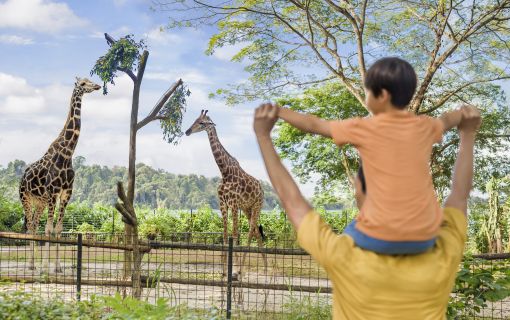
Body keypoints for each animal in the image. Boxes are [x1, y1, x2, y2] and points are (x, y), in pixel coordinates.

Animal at [19, 77, 100, 272]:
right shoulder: (53, 192)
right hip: (25, 198)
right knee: (30, 227)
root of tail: (22, 178)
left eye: (90, 80)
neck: (67, 153)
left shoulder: (66, 194)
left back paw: (33, 264)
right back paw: (31, 265)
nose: (97, 86)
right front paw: (46, 267)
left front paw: (57, 267)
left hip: (39, 201)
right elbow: (49, 229)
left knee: (34, 225)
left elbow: (58, 229)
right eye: (83, 83)